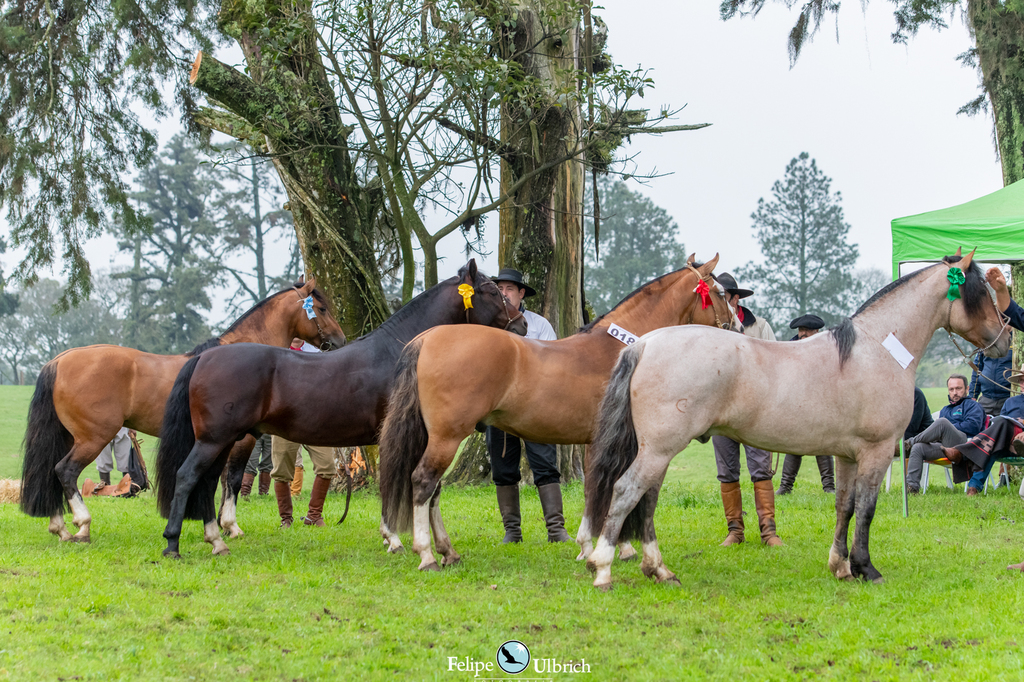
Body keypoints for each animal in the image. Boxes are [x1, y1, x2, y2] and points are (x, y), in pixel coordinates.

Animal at [18, 276, 348, 540]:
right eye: (321, 309)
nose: (341, 340)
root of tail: (60, 360)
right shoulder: (240, 441)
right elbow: (231, 480)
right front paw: (230, 526)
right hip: (94, 437)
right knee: (65, 471)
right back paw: (82, 524)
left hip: (70, 436)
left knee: (50, 472)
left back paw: (60, 527)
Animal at [157, 258, 528, 557]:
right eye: (491, 292)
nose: (522, 324)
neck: (400, 351)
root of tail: (205, 356)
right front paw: (394, 539)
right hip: (215, 440)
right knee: (188, 477)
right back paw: (173, 544)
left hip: (222, 441)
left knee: (207, 482)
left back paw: (216, 540)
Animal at [376, 253, 737, 569]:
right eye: (720, 292)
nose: (735, 327)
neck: (621, 346)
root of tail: (427, 338)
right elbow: (609, 489)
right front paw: (615, 548)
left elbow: (598, 490)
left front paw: (591, 547)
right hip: (447, 437)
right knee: (423, 482)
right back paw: (427, 555)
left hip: (437, 437)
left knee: (433, 490)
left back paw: (448, 552)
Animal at [581, 246, 1011, 585]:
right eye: (981, 294)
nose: (1005, 340)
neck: (878, 350)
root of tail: (645, 344)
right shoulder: (876, 452)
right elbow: (867, 509)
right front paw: (866, 568)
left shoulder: (847, 456)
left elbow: (845, 506)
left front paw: (841, 567)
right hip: (659, 449)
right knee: (626, 490)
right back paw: (603, 567)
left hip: (658, 451)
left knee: (646, 498)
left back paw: (659, 570)